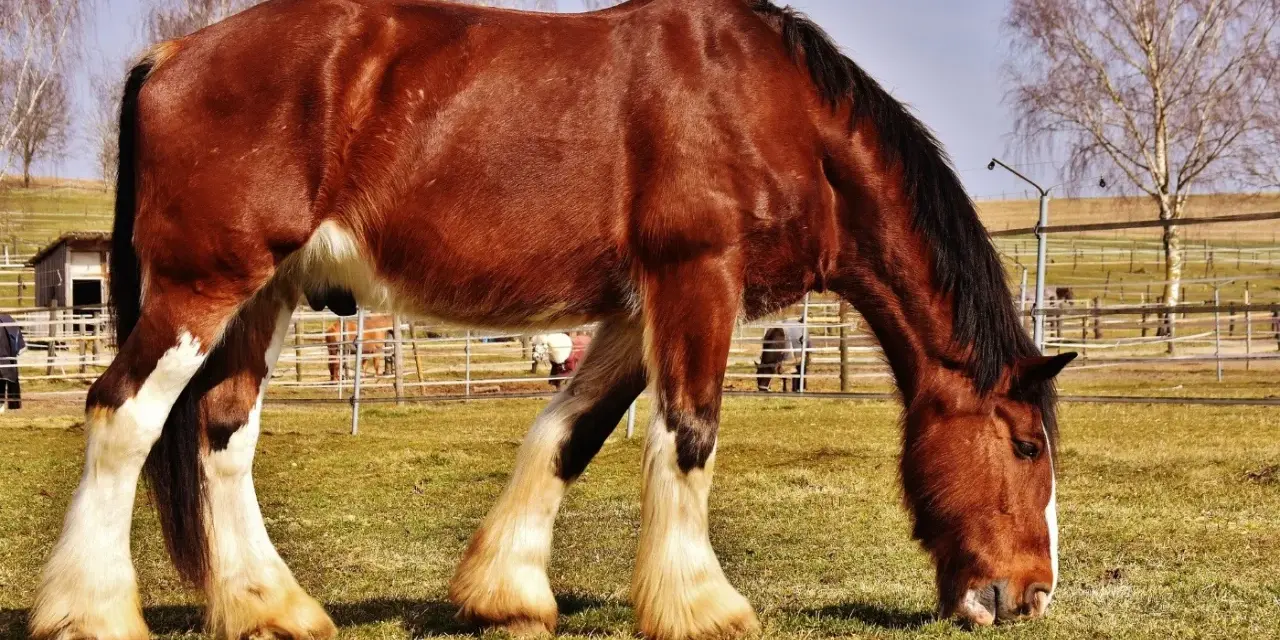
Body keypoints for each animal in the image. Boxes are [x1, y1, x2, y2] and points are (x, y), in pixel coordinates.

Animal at [32, 1, 1076, 639]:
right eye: (1026, 445)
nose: (1028, 595)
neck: (774, 110)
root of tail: (172, 54)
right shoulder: (698, 279)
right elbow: (689, 435)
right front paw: (701, 604)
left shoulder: (630, 310)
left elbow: (569, 433)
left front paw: (506, 591)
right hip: (202, 289)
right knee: (122, 416)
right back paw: (90, 611)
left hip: (265, 296)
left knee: (220, 432)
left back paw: (270, 606)